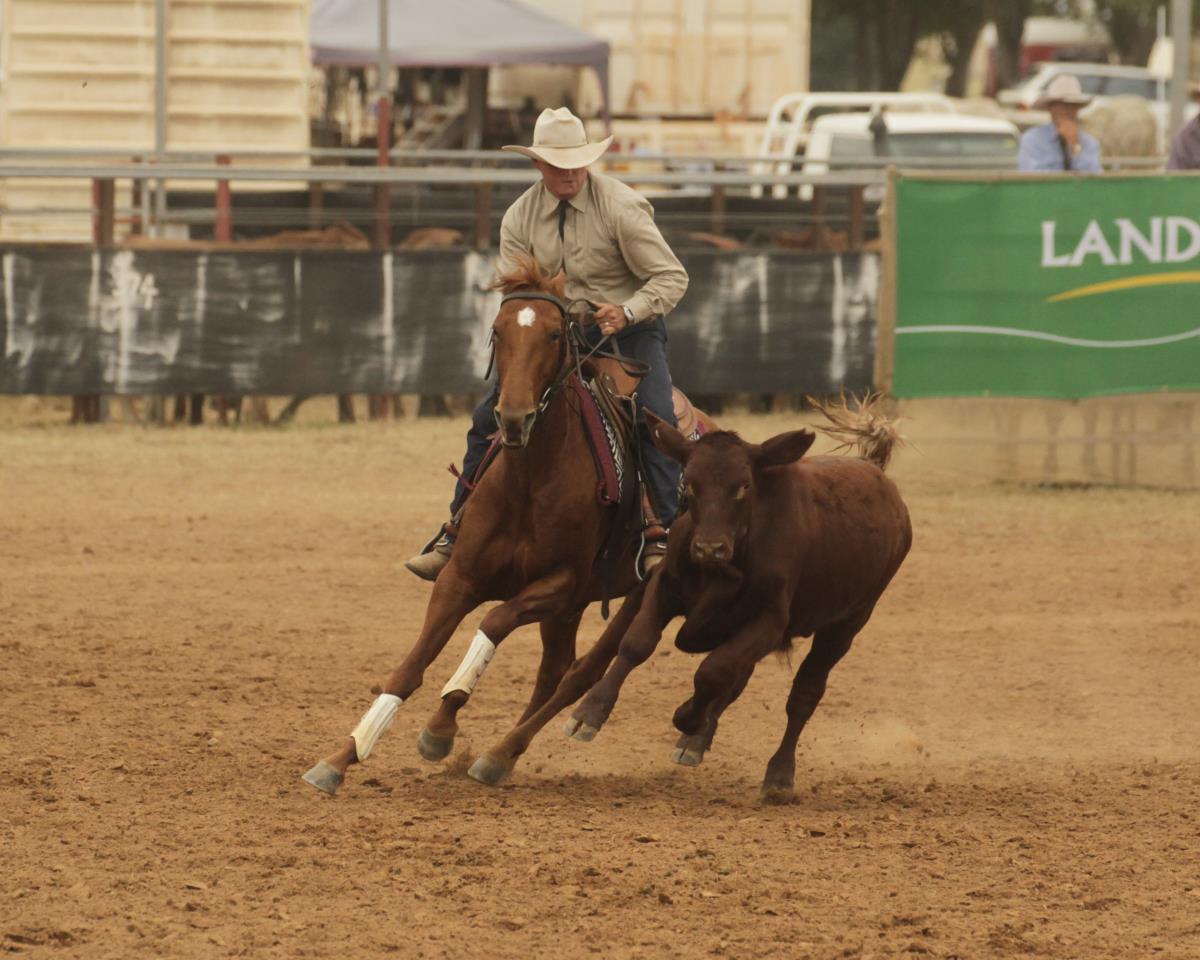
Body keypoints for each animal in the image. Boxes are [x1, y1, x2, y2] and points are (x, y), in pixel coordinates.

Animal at [302, 256, 711, 794]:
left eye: (556, 334)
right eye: (497, 331)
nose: (513, 417)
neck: (529, 482)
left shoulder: (559, 585)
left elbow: (493, 623)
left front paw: (440, 729)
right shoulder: (461, 577)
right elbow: (411, 666)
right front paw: (342, 757)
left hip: (637, 595)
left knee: (585, 671)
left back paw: (511, 748)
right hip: (571, 610)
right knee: (555, 671)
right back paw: (499, 756)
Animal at [564, 397, 912, 802]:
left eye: (743, 486)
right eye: (690, 485)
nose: (709, 548)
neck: (724, 567)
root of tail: (876, 472)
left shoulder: (771, 621)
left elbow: (712, 672)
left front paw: (688, 717)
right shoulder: (664, 587)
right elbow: (637, 644)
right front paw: (589, 714)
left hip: (846, 624)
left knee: (803, 694)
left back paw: (778, 773)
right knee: (738, 677)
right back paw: (698, 740)